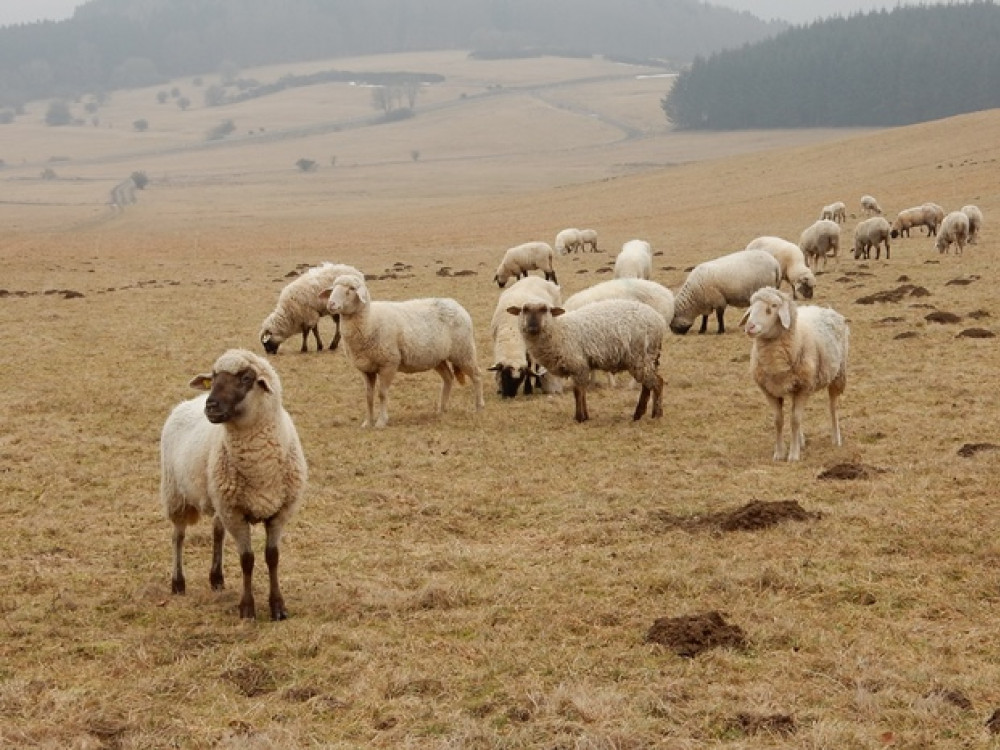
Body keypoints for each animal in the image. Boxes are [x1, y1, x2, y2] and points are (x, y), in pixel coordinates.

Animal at [160, 348, 308, 620]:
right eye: (214, 377)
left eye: (246, 378)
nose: (210, 406)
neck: (260, 467)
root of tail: (186, 402)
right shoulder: (236, 514)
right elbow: (247, 559)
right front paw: (247, 608)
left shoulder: (279, 512)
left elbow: (273, 557)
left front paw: (278, 607)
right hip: (175, 494)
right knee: (178, 537)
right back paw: (178, 582)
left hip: (219, 499)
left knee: (217, 532)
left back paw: (216, 578)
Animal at [320, 275, 485, 427]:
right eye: (332, 289)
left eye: (351, 289)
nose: (331, 304)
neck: (369, 320)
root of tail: (455, 304)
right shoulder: (366, 369)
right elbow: (368, 396)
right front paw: (367, 422)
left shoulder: (389, 363)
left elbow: (382, 394)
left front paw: (381, 422)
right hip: (437, 357)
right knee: (448, 378)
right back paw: (442, 409)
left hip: (464, 350)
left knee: (476, 375)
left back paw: (479, 406)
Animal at [507, 299, 666, 423]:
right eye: (525, 309)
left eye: (544, 309)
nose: (533, 324)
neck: (559, 331)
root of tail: (659, 319)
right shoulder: (582, 367)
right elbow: (582, 391)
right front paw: (585, 416)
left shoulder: (578, 364)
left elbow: (577, 392)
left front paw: (579, 417)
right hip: (647, 357)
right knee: (648, 384)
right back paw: (641, 414)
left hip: (640, 356)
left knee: (657, 383)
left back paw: (656, 414)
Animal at [739, 287, 849, 462]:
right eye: (751, 305)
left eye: (773, 306)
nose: (749, 327)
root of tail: (825, 308)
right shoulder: (770, 390)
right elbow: (779, 420)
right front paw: (779, 453)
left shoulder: (803, 387)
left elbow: (795, 420)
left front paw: (793, 454)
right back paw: (801, 440)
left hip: (838, 375)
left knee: (833, 407)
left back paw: (836, 438)